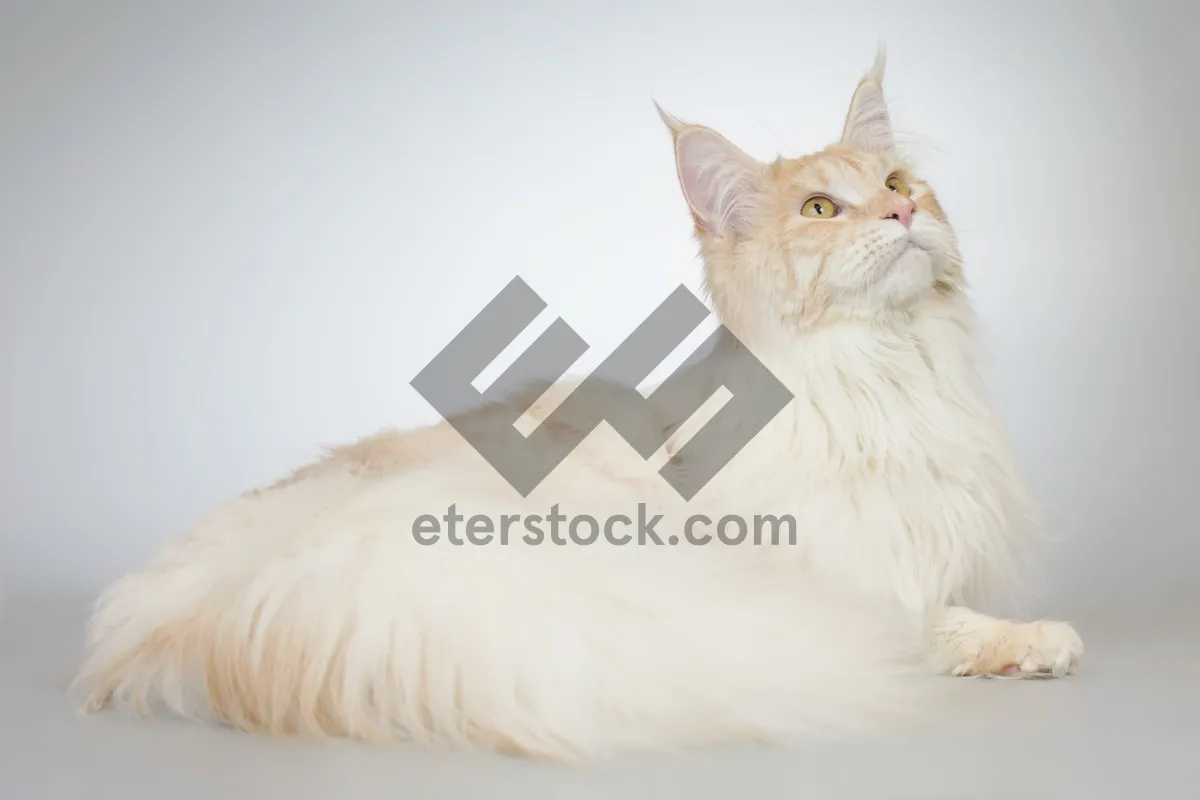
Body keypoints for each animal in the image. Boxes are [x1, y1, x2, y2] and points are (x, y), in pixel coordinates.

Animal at [75, 51, 1089, 762]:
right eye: (818, 209)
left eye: (895, 186)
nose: (901, 217)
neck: (891, 376)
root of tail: (166, 609)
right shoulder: (840, 580)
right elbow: (934, 623)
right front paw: (1029, 641)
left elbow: (959, 610)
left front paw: (1029, 641)